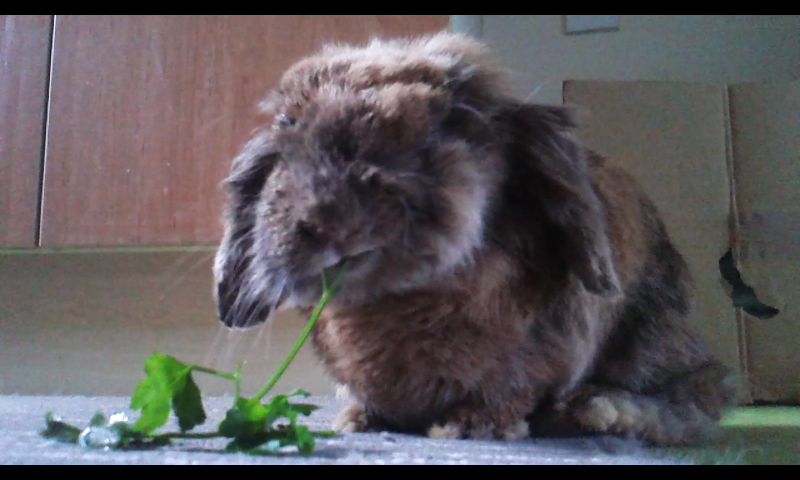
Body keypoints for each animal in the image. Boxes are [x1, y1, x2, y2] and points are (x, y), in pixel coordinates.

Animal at [213, 32, 738, 447]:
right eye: (288, 127)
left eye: (436, 128)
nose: (324, 222)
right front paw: (356, 420)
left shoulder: (531, 366)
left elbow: (505, 394)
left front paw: (466, 428)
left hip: (653, 344)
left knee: (698, 398)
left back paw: (601, 411)